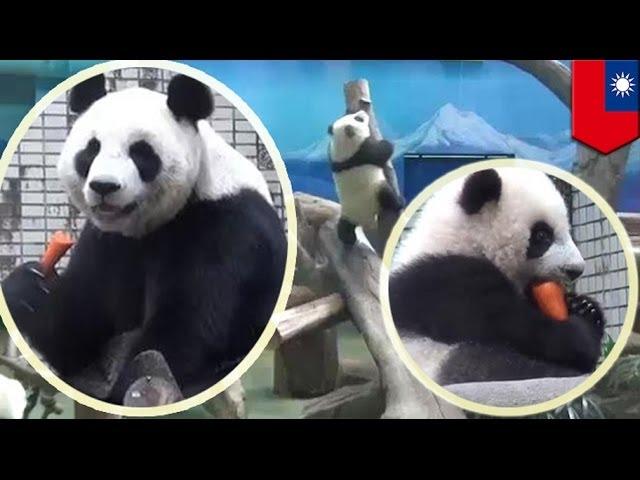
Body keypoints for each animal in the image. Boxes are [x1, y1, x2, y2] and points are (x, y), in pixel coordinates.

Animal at [0, 73, 284, 404]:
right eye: (91, 149)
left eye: (141, 152)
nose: (104, 186)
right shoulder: (106, 241)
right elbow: (78, 331)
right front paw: (30, 285)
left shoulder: (223, 228)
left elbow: (186, 328)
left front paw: (125, 390)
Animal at [328, 109, 402, 244]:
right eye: (359, 119)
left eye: (354, 116)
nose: (363, 112)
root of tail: (366, 222)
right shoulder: (364, 151)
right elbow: (383, 152)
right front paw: (388, 143)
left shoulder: (333, 159)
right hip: (374, 193)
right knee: (386, 194)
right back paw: (399, 202)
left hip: (347, 214)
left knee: (343, 229)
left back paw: (348, 240)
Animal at [390, 167, 604, 384]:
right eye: (543, 235)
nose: (576, 270)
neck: (462, 239)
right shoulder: (448, 283)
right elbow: (521, 329)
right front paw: (584, 331)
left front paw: (583, 306)